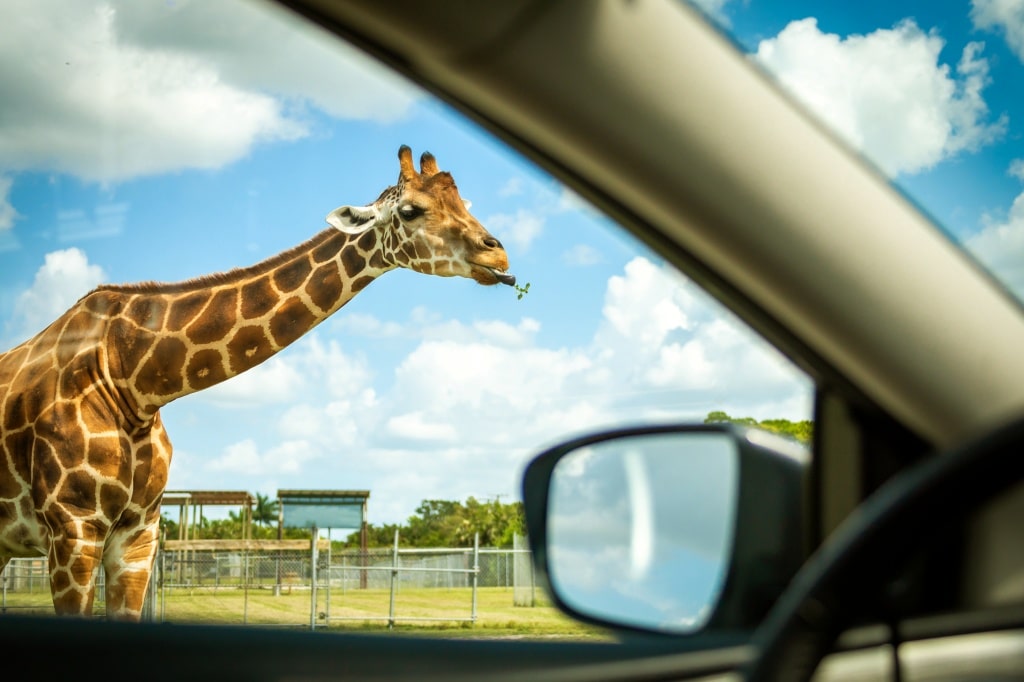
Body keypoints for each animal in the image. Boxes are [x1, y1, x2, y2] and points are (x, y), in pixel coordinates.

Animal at [0, 144, 512, 614]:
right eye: (410, 210)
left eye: (463, 201)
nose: (500, 255)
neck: (135, 381)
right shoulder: (74, 529)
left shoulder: (138, 534)